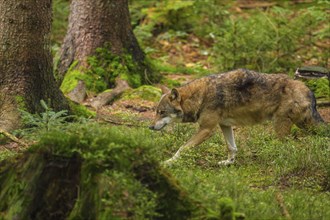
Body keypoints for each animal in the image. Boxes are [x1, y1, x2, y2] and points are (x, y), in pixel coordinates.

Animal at [150, 69, 324, 165]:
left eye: (162, 112)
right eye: (156, 111)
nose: (150, 127)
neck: (200, 97)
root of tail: (309, 91)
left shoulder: (207, 129)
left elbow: (182, 148)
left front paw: (168, 162)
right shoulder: (225, 125)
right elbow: (232, 148)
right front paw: (228, 163)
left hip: (281, 127)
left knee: (288, 146)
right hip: (303, 125)